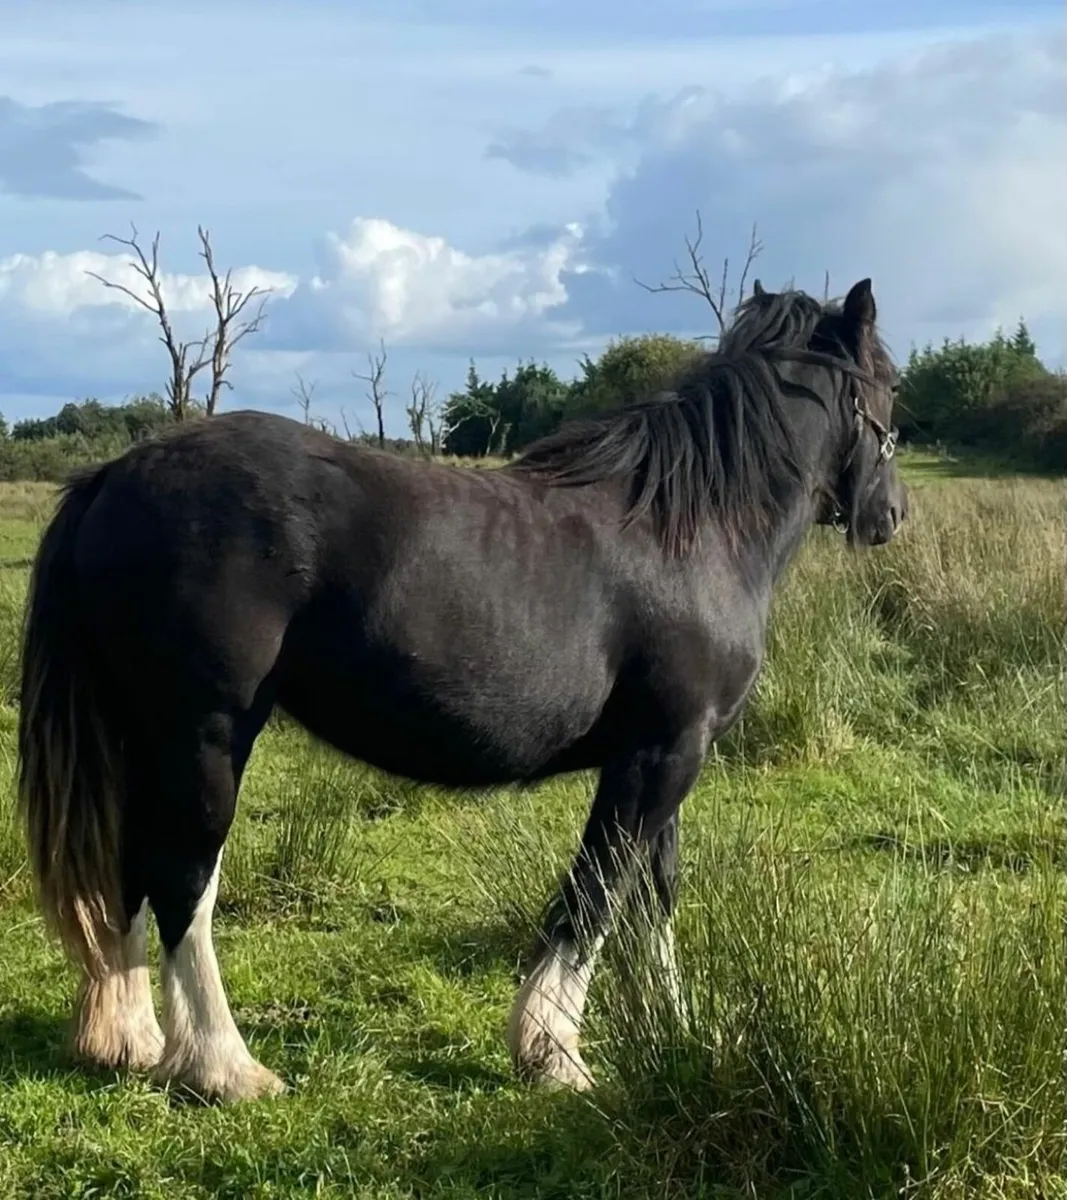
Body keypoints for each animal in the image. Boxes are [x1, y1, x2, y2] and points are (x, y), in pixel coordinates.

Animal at [17, 278, 906, 1103]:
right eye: (890, 384)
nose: (889, 514)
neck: (694, 532)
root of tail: (115, 474)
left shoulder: (667, 753)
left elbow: (651, 894)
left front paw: (676, 1029)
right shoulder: (658, 756)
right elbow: (594, 893)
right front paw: (551, 1051)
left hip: (149, 740)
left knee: (132, 877)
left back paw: (131, 1040)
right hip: (203, 736)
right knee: (181, 882)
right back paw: (223, 1067)